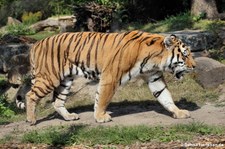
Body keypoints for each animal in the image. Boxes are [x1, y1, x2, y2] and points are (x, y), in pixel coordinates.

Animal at [18, 30, 195, 124]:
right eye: (185, 55)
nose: (194, 66)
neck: (154, 60)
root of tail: (35, 44)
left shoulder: (154, 77)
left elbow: (165, 96)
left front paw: (178, 112)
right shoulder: (110, 77)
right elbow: (102, 98)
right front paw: (101, 117)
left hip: (65, 81)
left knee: (57, 102)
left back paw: (69, 117)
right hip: (49, 78)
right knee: (30, 95)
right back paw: (31, 119)